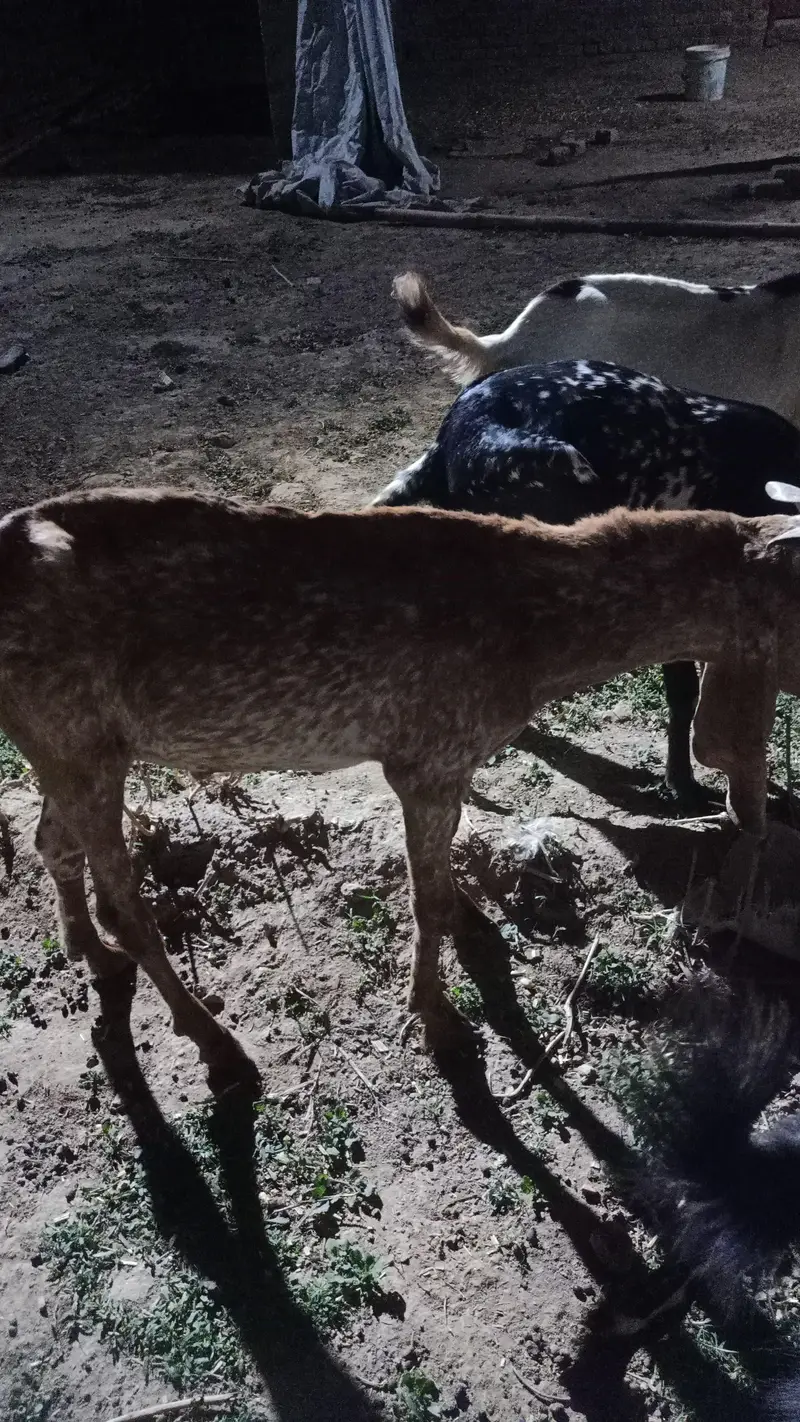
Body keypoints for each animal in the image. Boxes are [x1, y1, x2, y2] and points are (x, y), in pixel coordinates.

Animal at [2, 487, 800, 1089]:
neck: (542, 638)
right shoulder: (429, 761)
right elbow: (427, 898)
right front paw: (439, 1019)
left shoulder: (446, 766)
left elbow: (444, 883)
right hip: (79, 745)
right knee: (125, 905)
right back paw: (215, 1044)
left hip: (70, 748)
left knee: (52, 842)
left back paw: (88, 952)